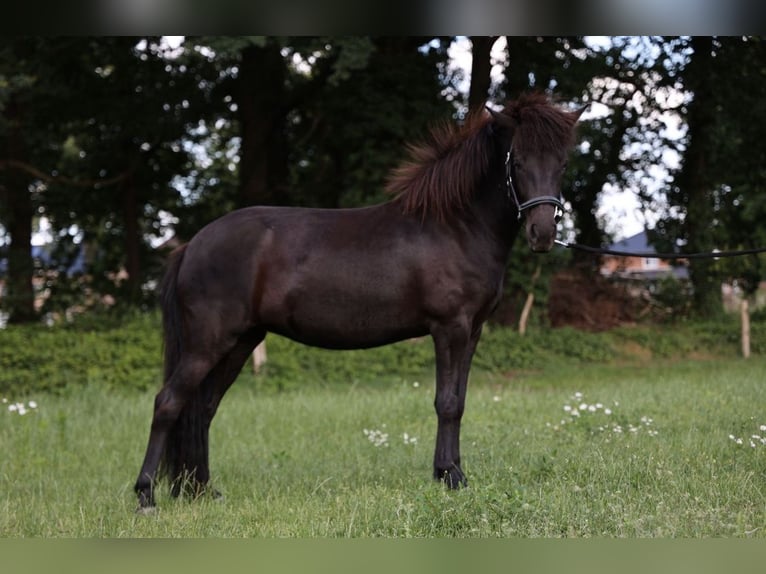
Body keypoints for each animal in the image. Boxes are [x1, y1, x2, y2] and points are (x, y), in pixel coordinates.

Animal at [135, 94, 584, 512]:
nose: (542, 234)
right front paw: (450, 477)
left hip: (241, 341)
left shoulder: (472, 332)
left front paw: (452, 472)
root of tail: (192, 245)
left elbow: (459, 401)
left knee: (203, 408)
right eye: (518, 162)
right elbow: (446, 402)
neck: (456, 226)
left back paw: (200, 491)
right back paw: (146, 496)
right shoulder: (450, 328)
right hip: (207, 343)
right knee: (168, 403)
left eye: (562, 164)